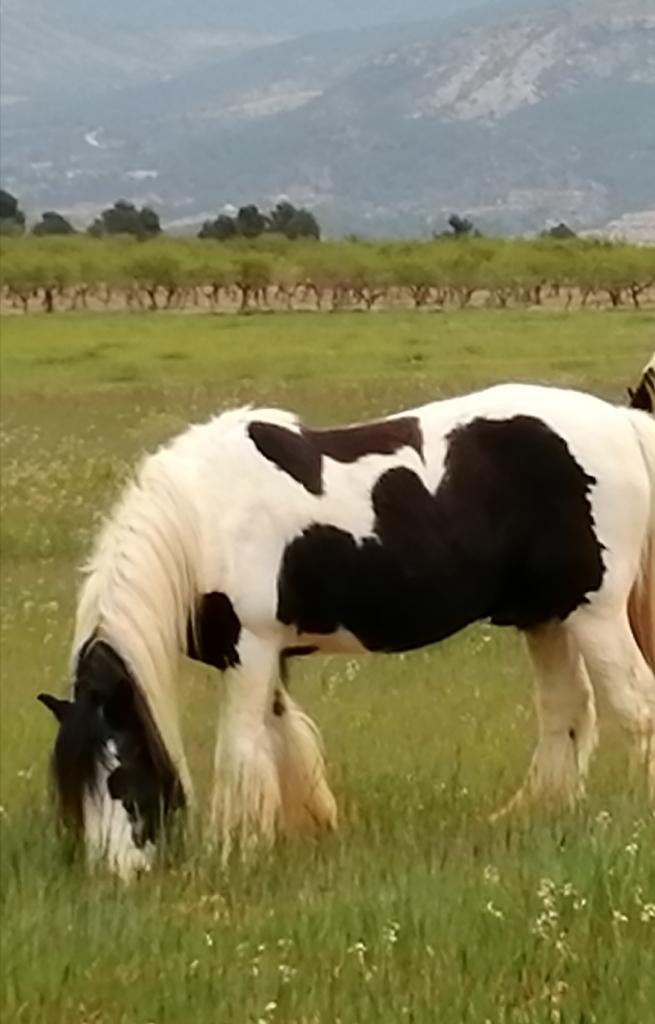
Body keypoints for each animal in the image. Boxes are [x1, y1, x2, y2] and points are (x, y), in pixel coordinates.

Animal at [38, 373, 655, 879]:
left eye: (122, 775)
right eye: (74, 788)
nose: (117, 874)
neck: (205, 519)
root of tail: (623, 424)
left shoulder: (250, 648)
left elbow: (242, 752)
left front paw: (235, 851)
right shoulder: (267, 656)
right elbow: (286, 739)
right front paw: (310, 827)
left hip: (594, 613)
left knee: (637, 706)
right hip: (545, 616)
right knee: (565, 713)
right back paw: (526, 815)